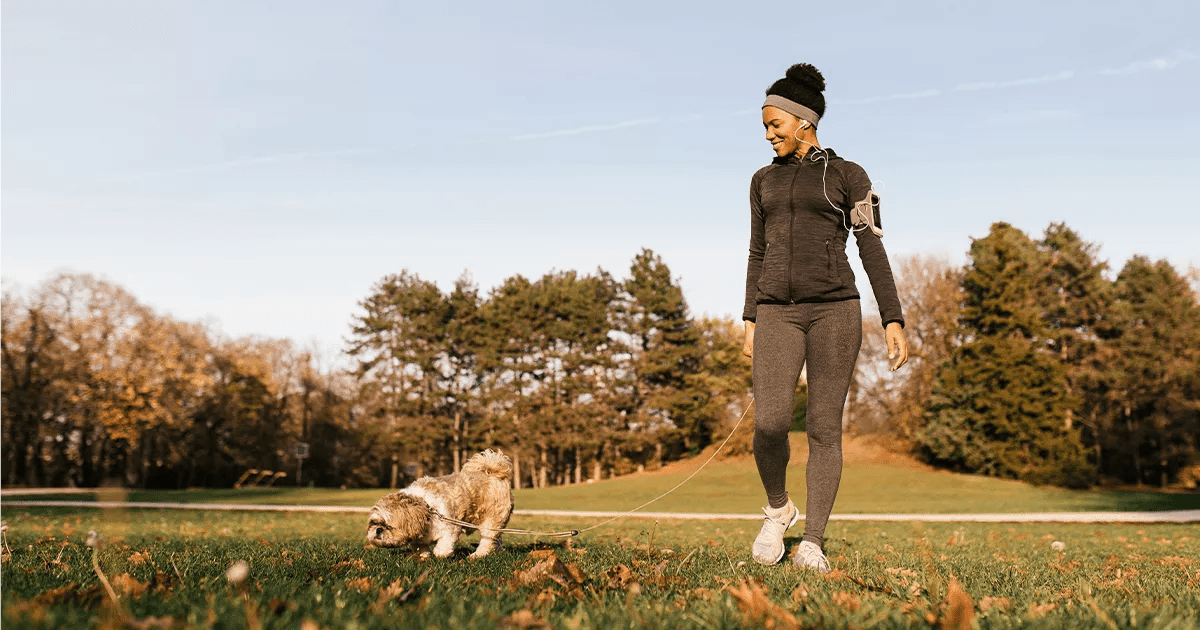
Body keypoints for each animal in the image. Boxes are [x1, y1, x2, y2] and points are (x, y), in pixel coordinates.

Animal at [364, 448, 516, 556]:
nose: (378, 530)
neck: (427, 508)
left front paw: (441, 553)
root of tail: (494, 473)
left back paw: (477, 555)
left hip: (491, 520)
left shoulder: (450, 529)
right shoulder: (419, 537)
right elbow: (420, 547)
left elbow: (442, 549)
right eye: (374, 523)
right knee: (496, 538)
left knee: (487, 540)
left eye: (389, 526)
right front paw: (422, 557)